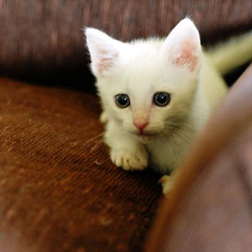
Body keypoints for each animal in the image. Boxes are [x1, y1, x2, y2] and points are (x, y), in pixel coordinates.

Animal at [85, 18, 252, 194]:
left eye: (162, 98)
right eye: (122, 100)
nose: (140, 123)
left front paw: (174, 181)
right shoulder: (117, 125)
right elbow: (117, 132)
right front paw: (129, 152)